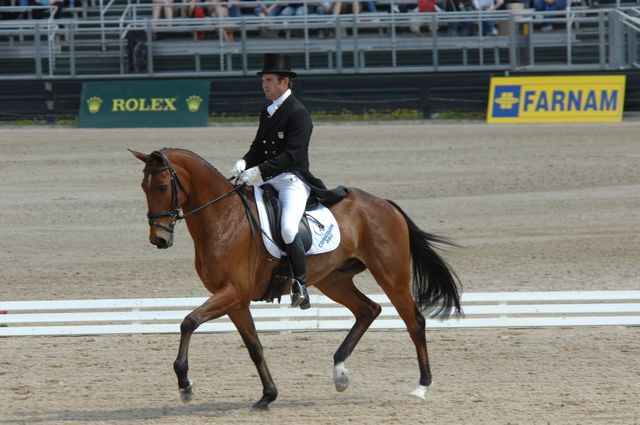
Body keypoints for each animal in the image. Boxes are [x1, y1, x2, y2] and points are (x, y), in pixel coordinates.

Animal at [129, 147, 462, 410]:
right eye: (143, 187)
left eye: (162, 186)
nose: (159, 239)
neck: (222, 217)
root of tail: (384, 203)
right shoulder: (235, 300)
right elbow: (254, 346)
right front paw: (268, 395)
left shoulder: (233, 292)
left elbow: (188, 322)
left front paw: (185, 385)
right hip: (334, 280)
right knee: (368, 310)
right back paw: (340, 373)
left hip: (391, 275)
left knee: (413, 321)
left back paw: (421, 387)